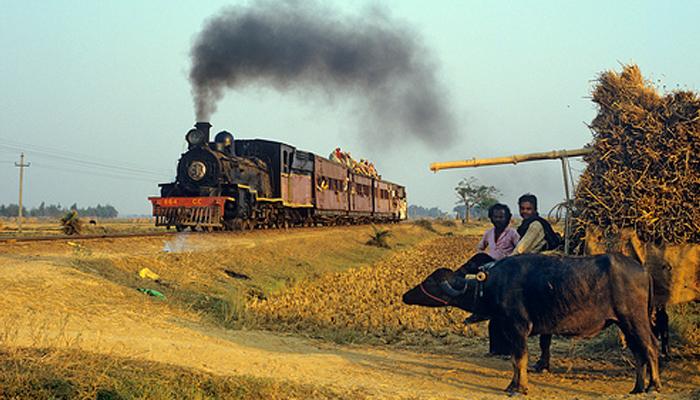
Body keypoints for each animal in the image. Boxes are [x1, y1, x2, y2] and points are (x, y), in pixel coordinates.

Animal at [402, 253, 660, 394]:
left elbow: (520, 359)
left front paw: (519, 388)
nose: (405, 295)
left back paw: (653, 386)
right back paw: (637, 388)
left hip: (635, 319)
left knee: (650, 347)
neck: (490, 285)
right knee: (638, 352)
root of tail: (643, 270)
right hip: (625, 324)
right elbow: (515, 361)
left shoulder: (518, 328)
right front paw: (512, 385)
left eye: (431, 282)